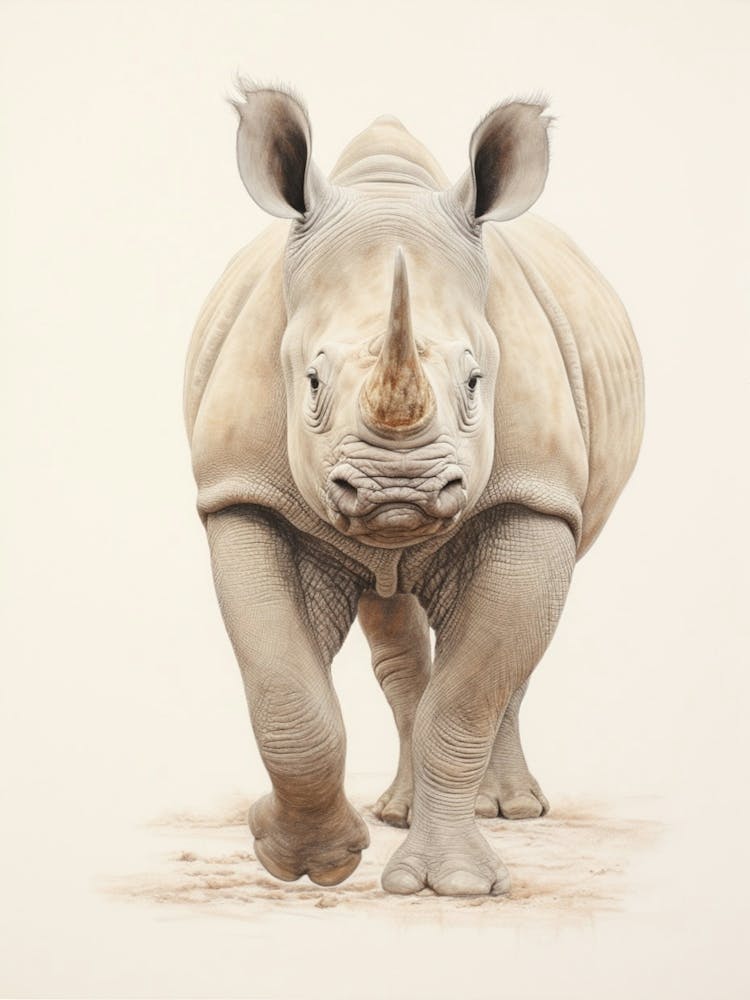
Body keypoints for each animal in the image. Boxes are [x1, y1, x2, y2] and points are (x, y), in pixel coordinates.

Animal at [183, 84, 644, 897]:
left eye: (476, 381)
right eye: (310, 380)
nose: (399, 487)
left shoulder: (534, 496)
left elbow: (469, 696)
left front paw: (452, 887)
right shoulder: (242, 492)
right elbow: (287, 695)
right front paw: (303, 859)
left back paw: (510, 811)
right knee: (392, 618)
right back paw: (397, 812)